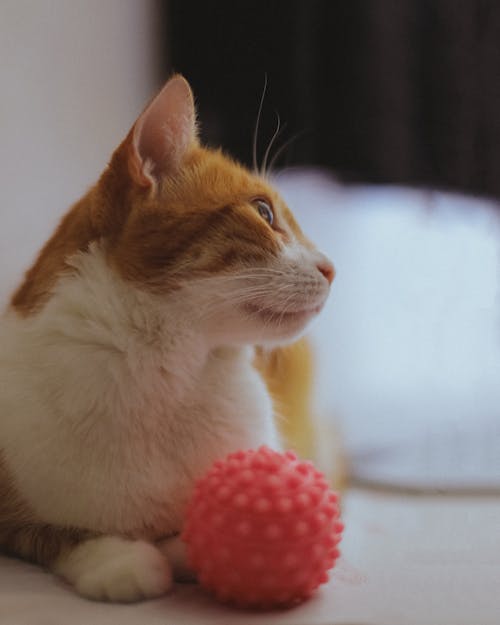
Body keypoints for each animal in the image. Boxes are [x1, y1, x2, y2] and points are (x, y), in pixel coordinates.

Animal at [0, 75, 336, 604]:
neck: (170, 372)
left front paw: (185, 545)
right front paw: (119, 558)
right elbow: (52, 533)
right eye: (264, 212)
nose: (332, 268)